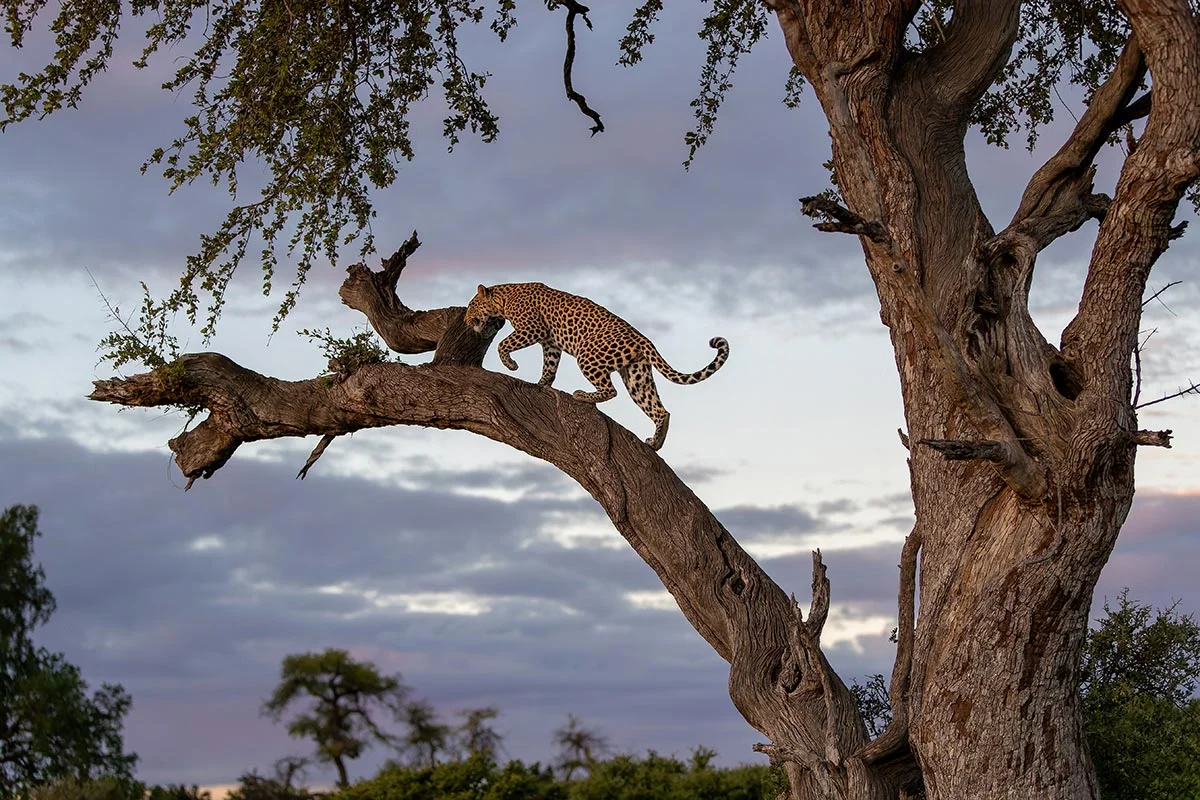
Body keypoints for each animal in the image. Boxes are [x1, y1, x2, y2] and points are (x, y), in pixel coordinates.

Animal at [464, 282, 729, 451]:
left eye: (471, 304)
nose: (466, 320)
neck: (504, 298)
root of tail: (643, 338)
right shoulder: (550, 343)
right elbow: (549, 365)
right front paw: (541, 384)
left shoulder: (533, 329)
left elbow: (503, 344)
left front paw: (511, 365)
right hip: (637, 375)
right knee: (659, 408)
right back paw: (656, 442)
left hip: (588, 356)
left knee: (611, 390)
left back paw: (582, 396)